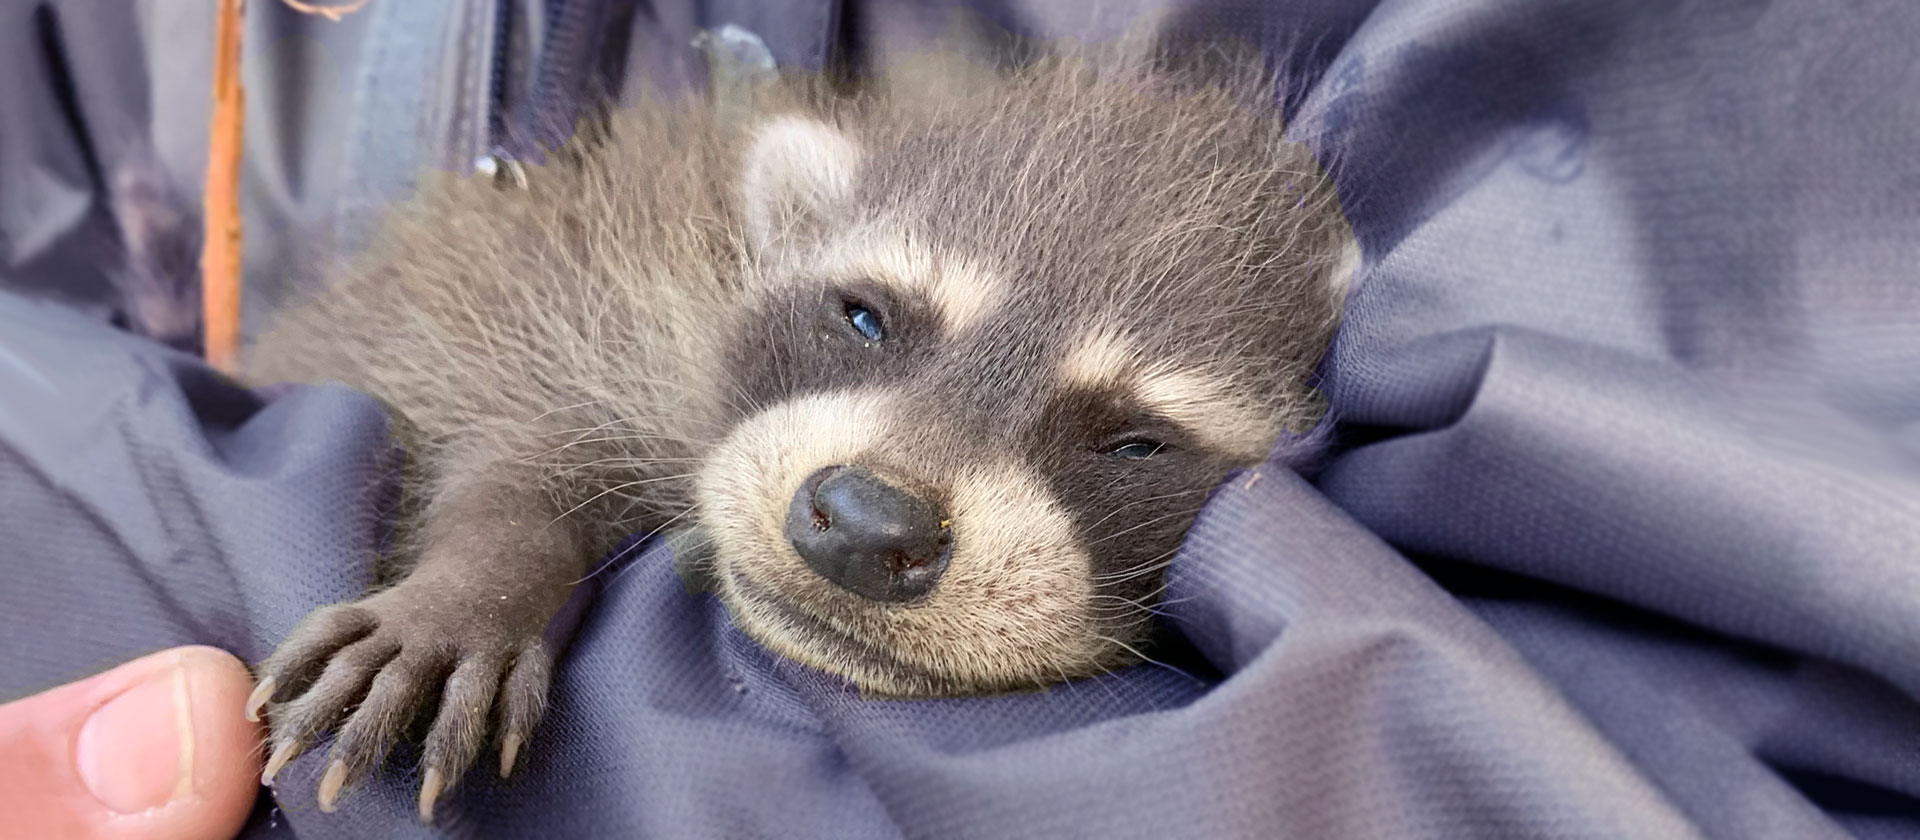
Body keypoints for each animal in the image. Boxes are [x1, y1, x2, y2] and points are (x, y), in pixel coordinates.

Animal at [236, 42, 1351, 816]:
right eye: (865, 318)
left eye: (1134, 443)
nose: (866, 523)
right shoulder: (590, 295)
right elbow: (519, 430)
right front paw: (474, 584)